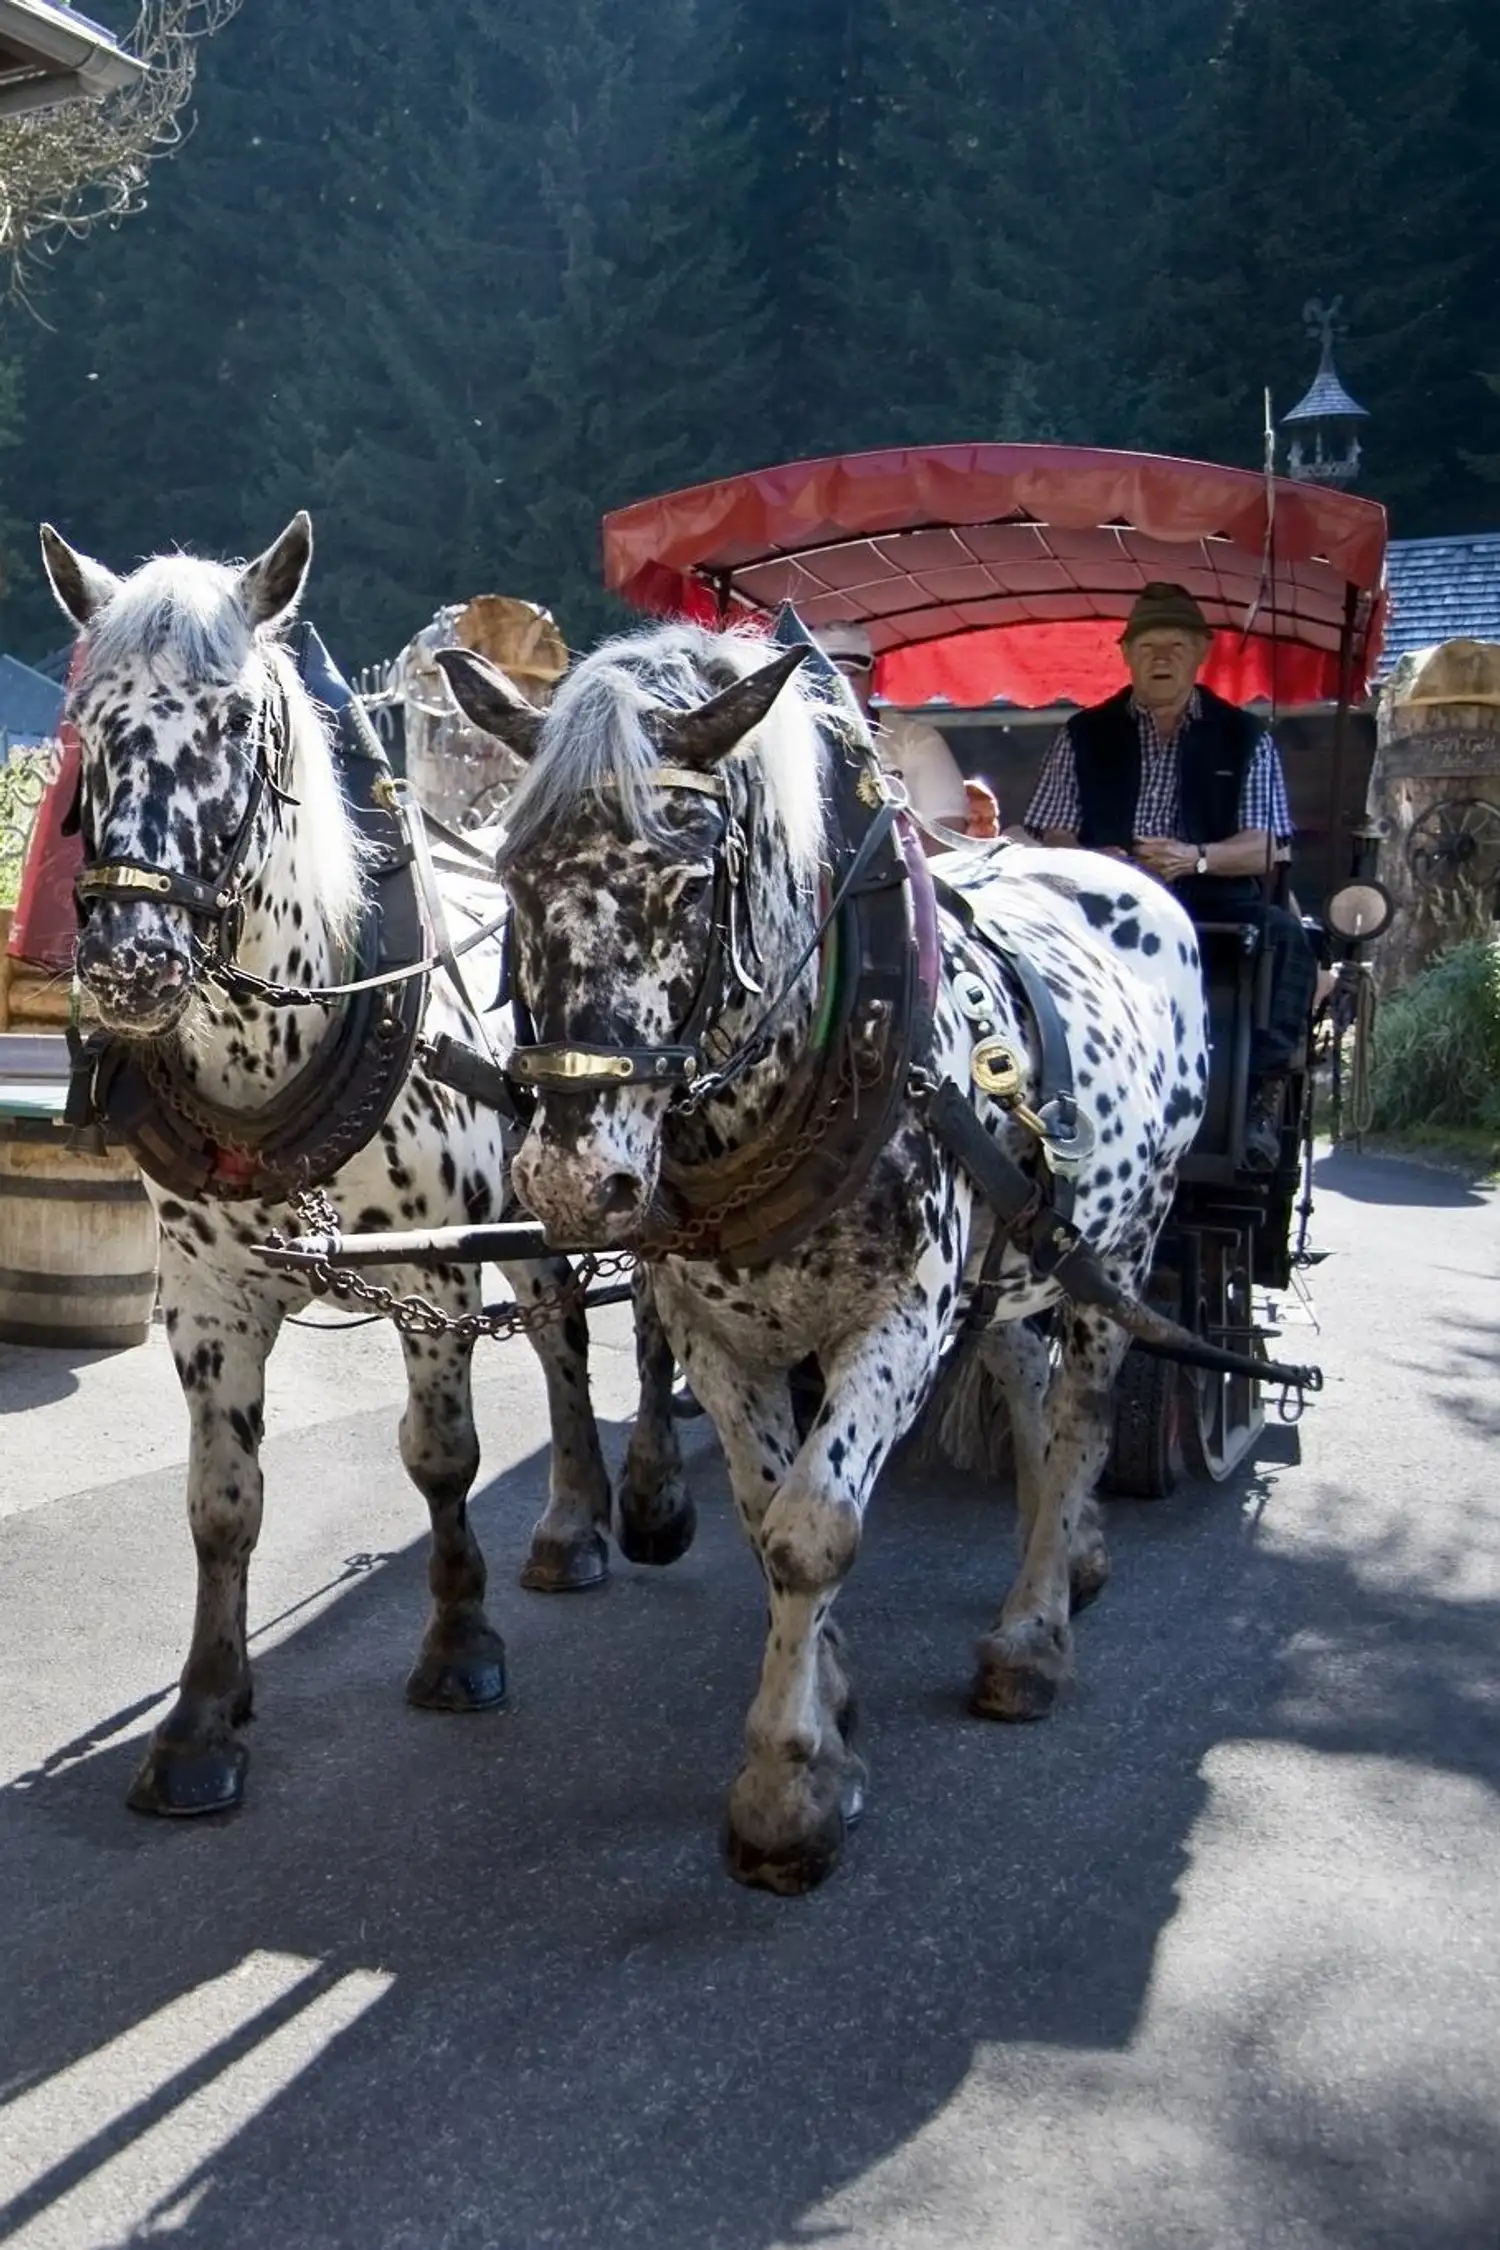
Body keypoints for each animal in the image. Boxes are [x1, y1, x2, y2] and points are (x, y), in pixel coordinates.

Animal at [37, 513, 687, 1819]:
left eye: (237, 720)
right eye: (92, 723)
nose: (131, 964)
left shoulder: (435, 1273)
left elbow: (441, 1457)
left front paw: (460, 1642)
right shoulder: (207, 1300)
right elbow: (221, 1503)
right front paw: (203, 1717)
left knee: (633, 1326)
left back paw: (639, 1495)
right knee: (561, 1330)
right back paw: (574, 1517)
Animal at [437, 620, 1211, 1894]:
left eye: (687, 876)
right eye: (510, 873)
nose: (569, 1181)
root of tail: (1125, 877)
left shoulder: (898, 1318)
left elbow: (814, 1530)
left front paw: (786, 1788)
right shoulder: (717, 1337)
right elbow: (767, 1517)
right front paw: (830, 1700)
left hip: (1127, 1242)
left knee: (1084, 1416)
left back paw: (1034, 1633)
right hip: (1015, 1262)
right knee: (1030, 1382)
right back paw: (1066, 1553)